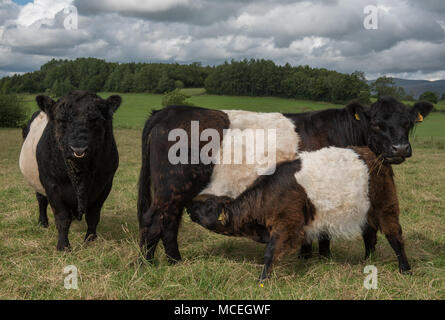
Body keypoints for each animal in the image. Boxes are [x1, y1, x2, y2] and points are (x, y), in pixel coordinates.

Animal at [19, 90, 121, 250]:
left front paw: (90, 241)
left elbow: (93, 216)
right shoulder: (51, 185)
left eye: (95, 119)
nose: (78, 149)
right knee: (41, 199)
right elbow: (62, 217)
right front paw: (63, 246)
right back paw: (43, 223)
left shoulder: (105, 185)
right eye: (61, 120)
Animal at [138, 97, 430, 262]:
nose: (400, 149)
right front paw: (317, 258)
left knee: (169, 222)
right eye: (377, 124)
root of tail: (166, 111)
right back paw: (148, 263)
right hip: (173, 186)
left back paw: (173, 261)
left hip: (176, 191)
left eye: (408, 123)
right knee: (154, 220)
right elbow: (323, 230)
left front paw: (311, 257)